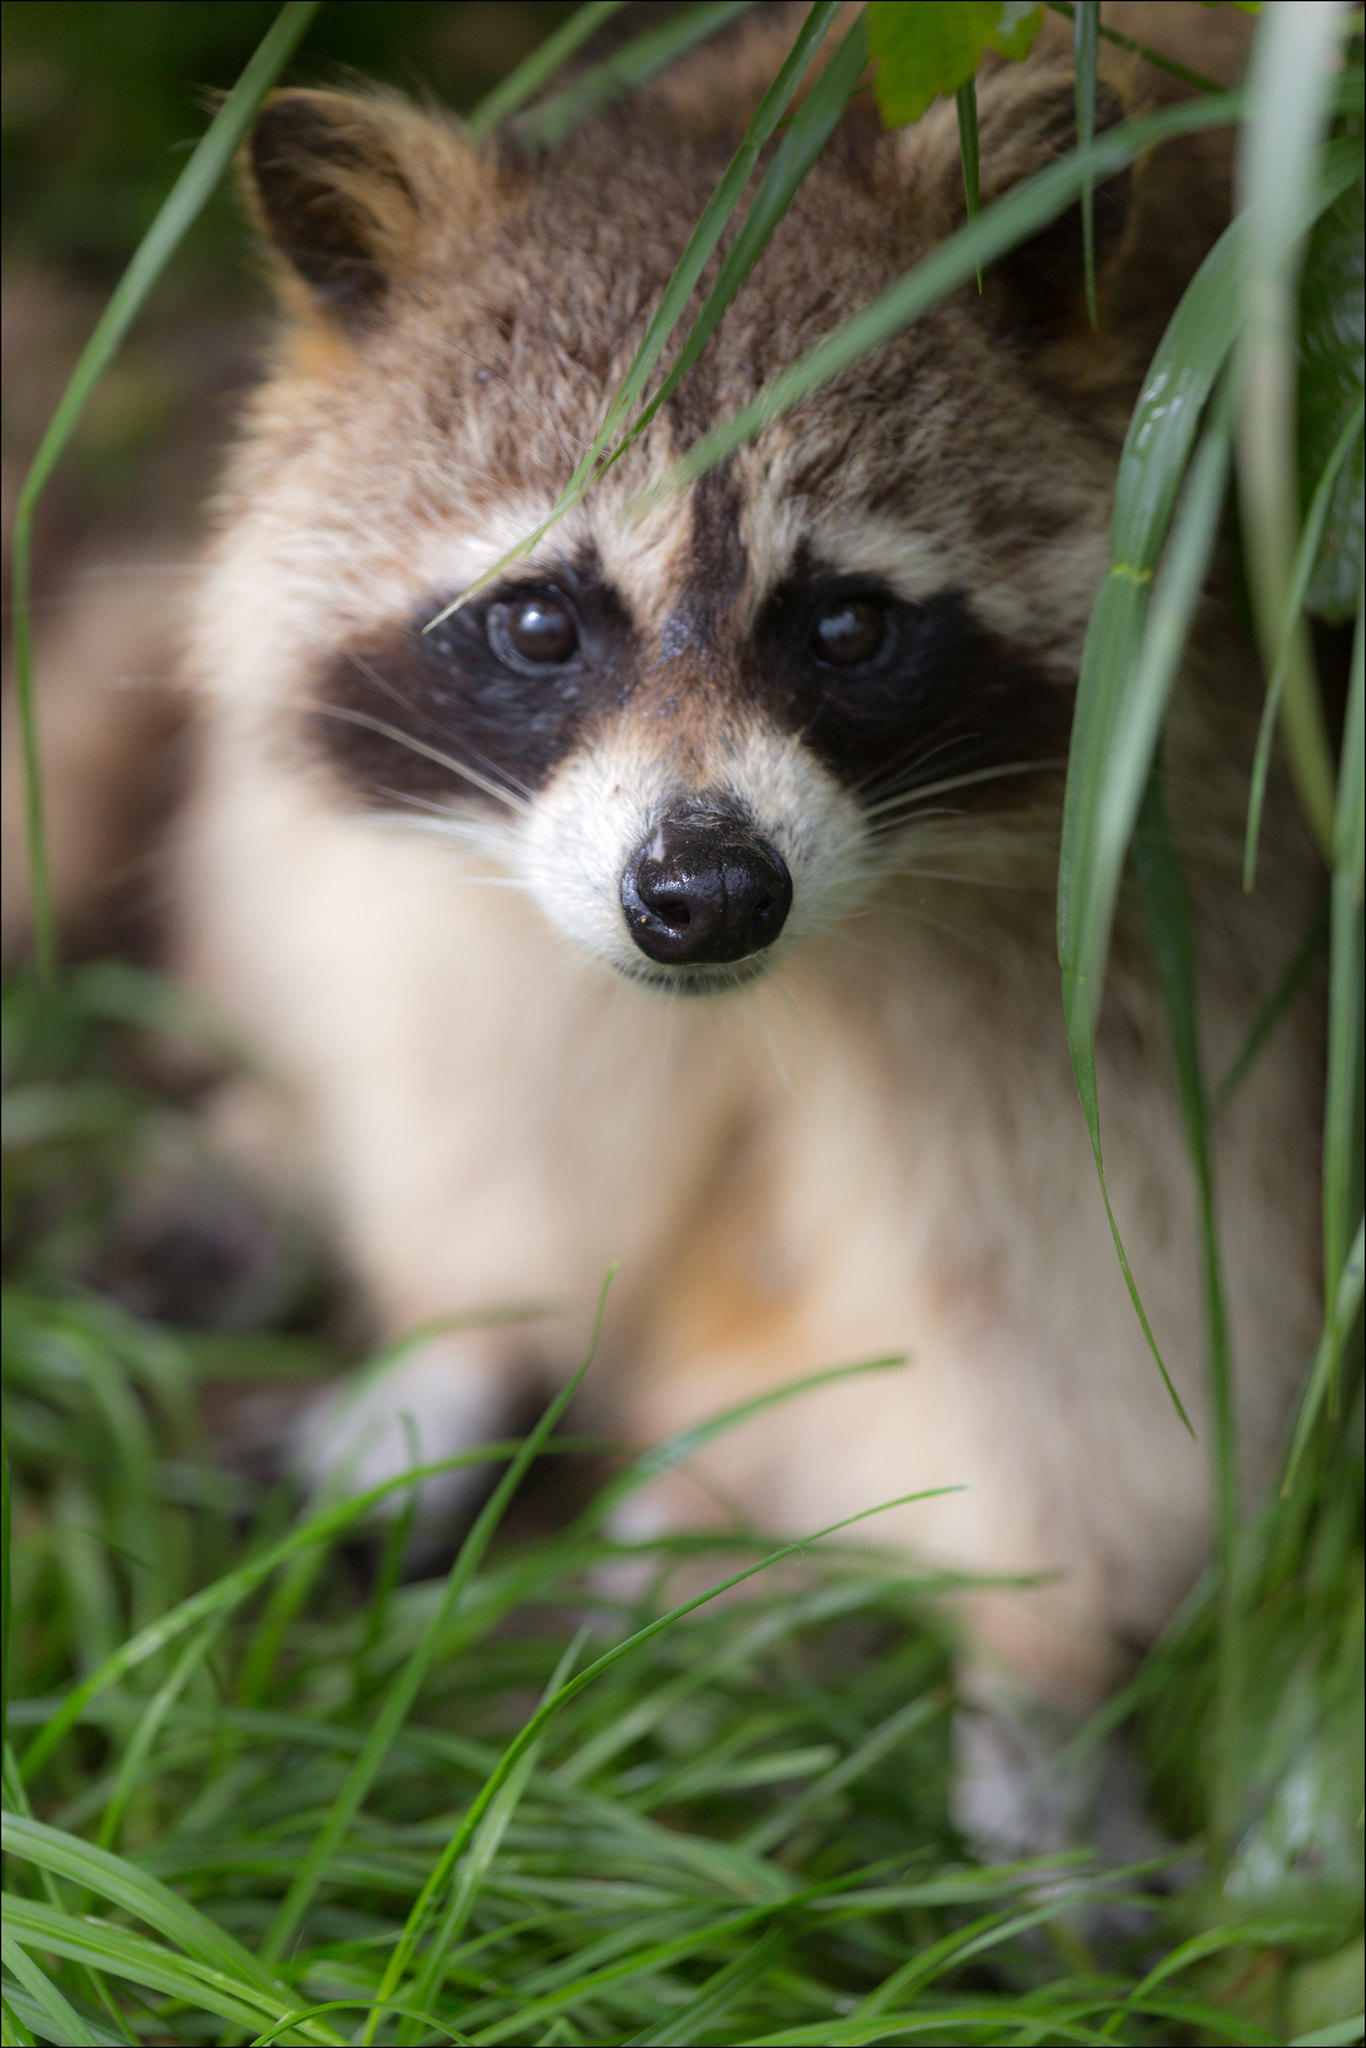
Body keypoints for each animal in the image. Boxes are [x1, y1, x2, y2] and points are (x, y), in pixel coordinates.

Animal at [175, 13, 1321, 1796]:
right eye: (539, 622)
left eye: (842, 627)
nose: (703, 898)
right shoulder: (512, 874)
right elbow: (510, 1062)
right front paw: (474, 1322)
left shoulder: (1175, 870)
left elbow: (1120, 1279)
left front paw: (1044, 1625)